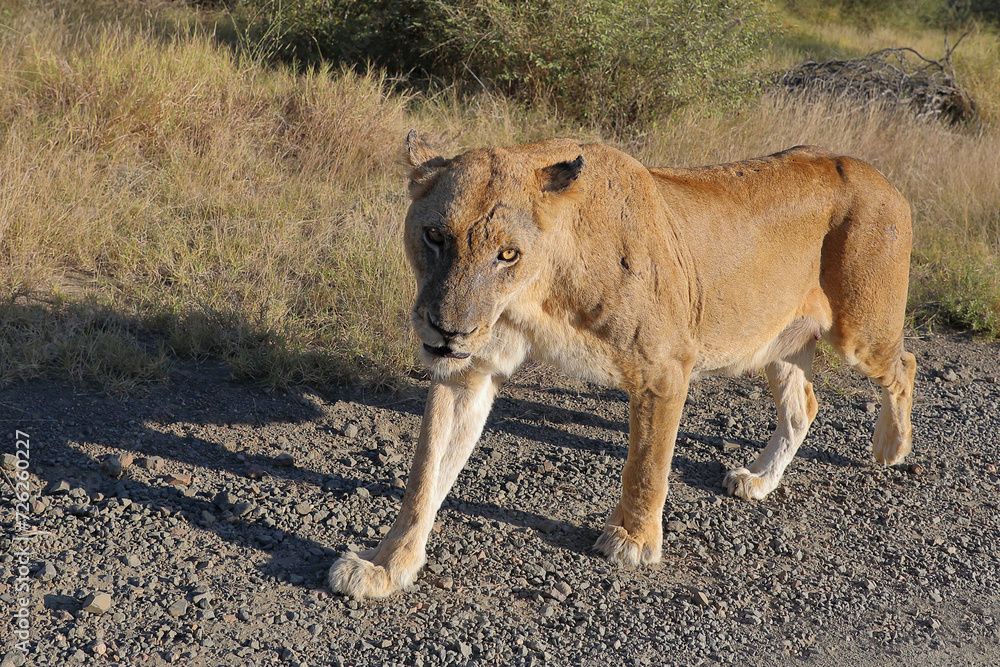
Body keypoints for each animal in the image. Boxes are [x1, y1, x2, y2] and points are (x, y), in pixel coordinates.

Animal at [329, 131, 916, 599]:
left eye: (508, 255)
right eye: (434, 236)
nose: (448, 331)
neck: (535, 293)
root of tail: (879, 175)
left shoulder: (666, 365)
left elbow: (647, 465)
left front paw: (632, 542)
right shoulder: (467, 372)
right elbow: (424, 477)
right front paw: (384, 567)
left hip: (860, 330)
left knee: (904, 365)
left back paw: (891, 446)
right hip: (778, 340)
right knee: (804, 406)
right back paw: (758, 480)